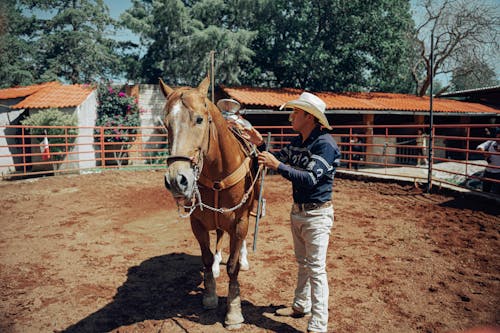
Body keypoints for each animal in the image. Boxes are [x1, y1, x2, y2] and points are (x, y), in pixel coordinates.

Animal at [160, 76, 260, 328]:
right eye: (166, 124)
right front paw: (210, 295)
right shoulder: (197, 222)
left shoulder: (239, 221)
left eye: (199, 119)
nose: (176, 180)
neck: (217, 173)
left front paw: (233, 311)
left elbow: (233, 267)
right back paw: (216, 265)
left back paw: (244, 258)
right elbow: (205, 259)